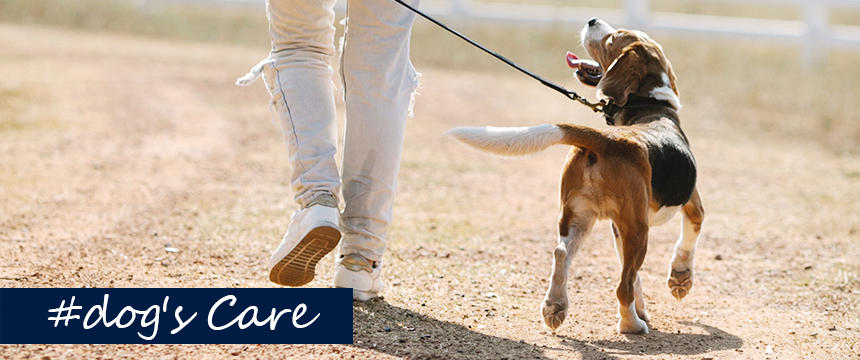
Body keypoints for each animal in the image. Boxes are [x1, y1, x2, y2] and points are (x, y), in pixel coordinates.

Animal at [446, 19, 704, 334]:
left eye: (613, 39)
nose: (592, 20)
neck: (650, 105)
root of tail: (609, 140)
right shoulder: (691, 201)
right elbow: (692, 230)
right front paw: (680, 278)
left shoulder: (618, 227)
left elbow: (633, 273)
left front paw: (645, 305)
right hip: (637, 230)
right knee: (622, 286)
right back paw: (630, 324)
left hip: (580, 216)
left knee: (562, 253)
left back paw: (555, 305)